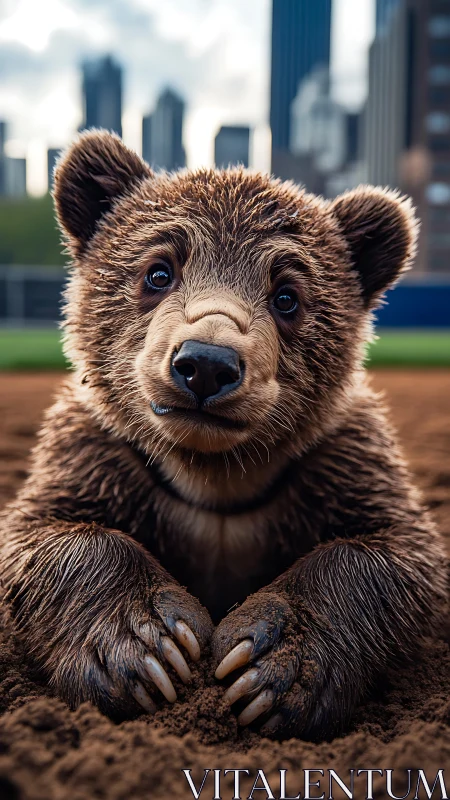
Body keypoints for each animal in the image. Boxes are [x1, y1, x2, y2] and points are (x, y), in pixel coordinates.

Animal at [0, 130, 446, 741]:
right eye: (158, 271)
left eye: (287, 296)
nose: (207, 364)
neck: (216, 478)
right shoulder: (102, 460)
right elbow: (44, 538)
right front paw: (145, 646)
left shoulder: (338, 468)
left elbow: (394, 554)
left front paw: (272, 662)